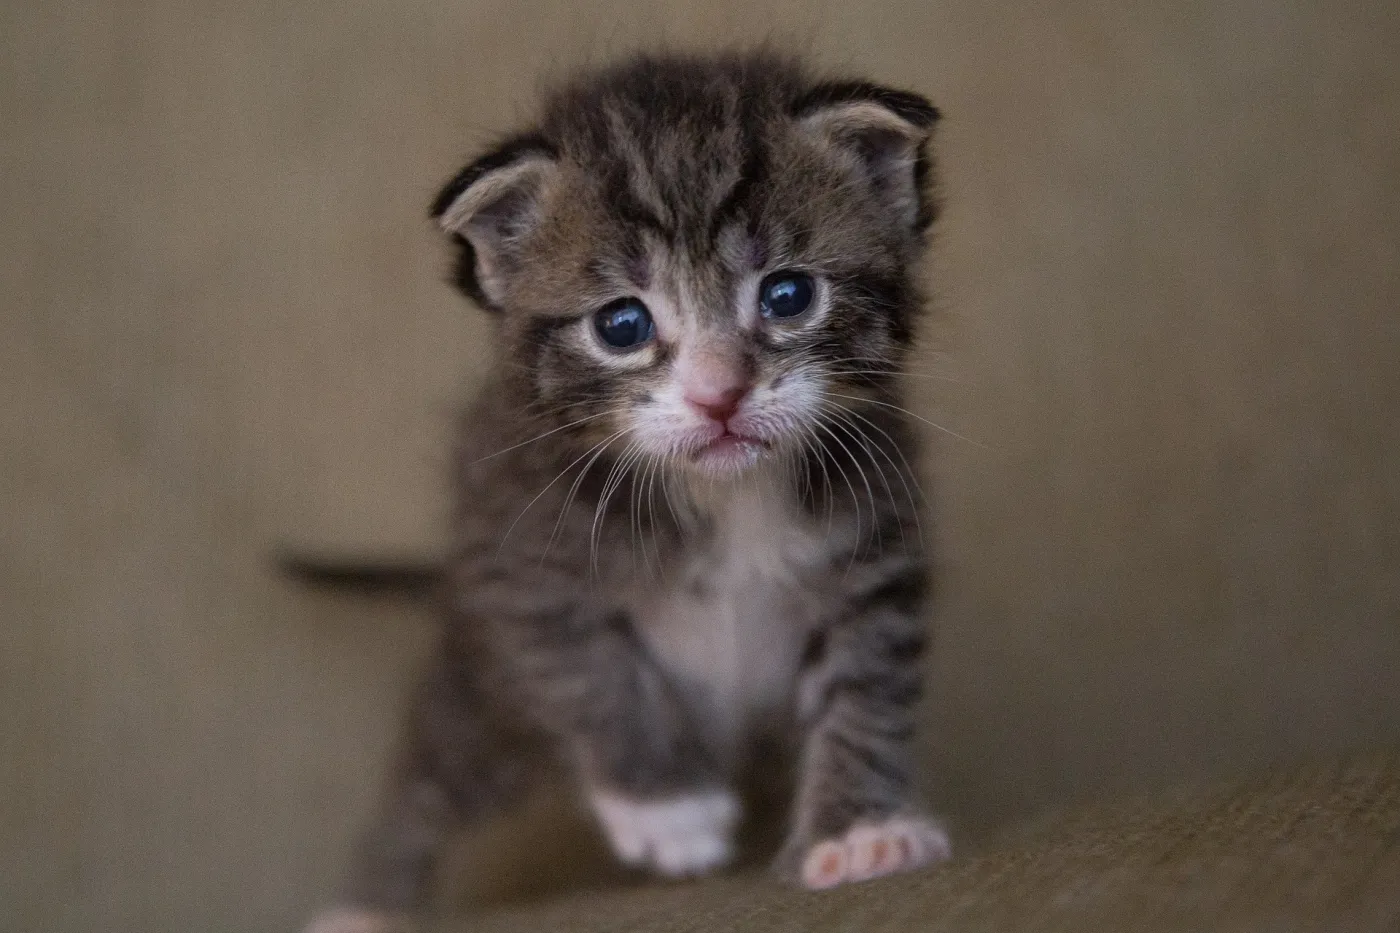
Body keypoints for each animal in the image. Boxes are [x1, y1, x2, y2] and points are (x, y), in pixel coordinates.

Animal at [309, 50, 952, 930]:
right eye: (622, 325)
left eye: (788, 295)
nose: (720, 396)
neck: (723, 498)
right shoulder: (522, 566)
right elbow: (592, 676)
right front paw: (667, 807)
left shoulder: (874, 550)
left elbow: (867, 688)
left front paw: (860, 832)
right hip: (482, 698)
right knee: (426, 781)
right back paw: (363, 907)